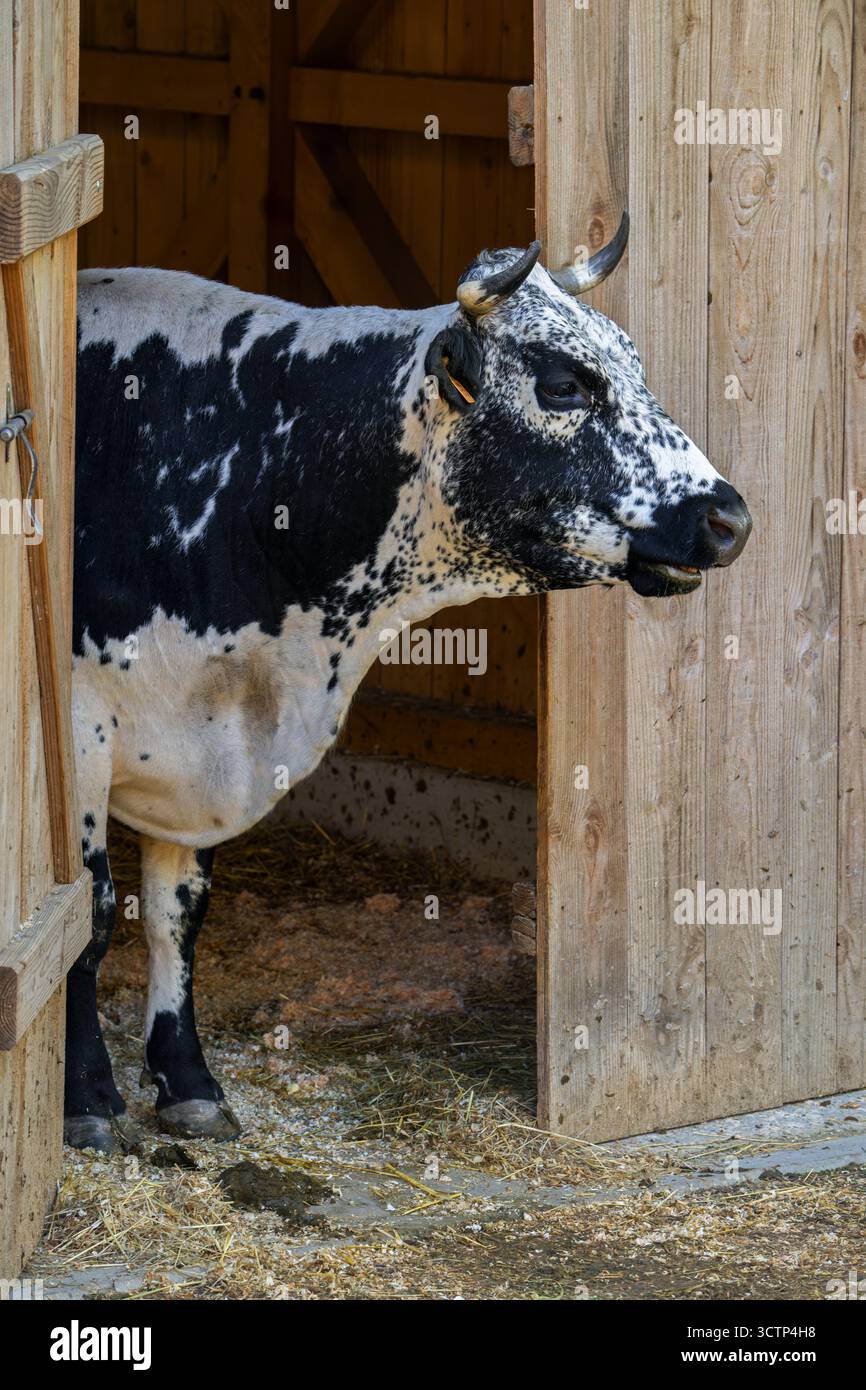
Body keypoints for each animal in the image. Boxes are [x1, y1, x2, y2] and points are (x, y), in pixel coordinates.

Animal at [67, 218, 751, 1151]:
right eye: (564, 384)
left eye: (635, 364)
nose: (729, 519)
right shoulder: (76, 726)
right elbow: (90, 913)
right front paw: (85, 1098)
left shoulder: (201, 744)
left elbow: (178, 913)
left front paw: (188, 1081)